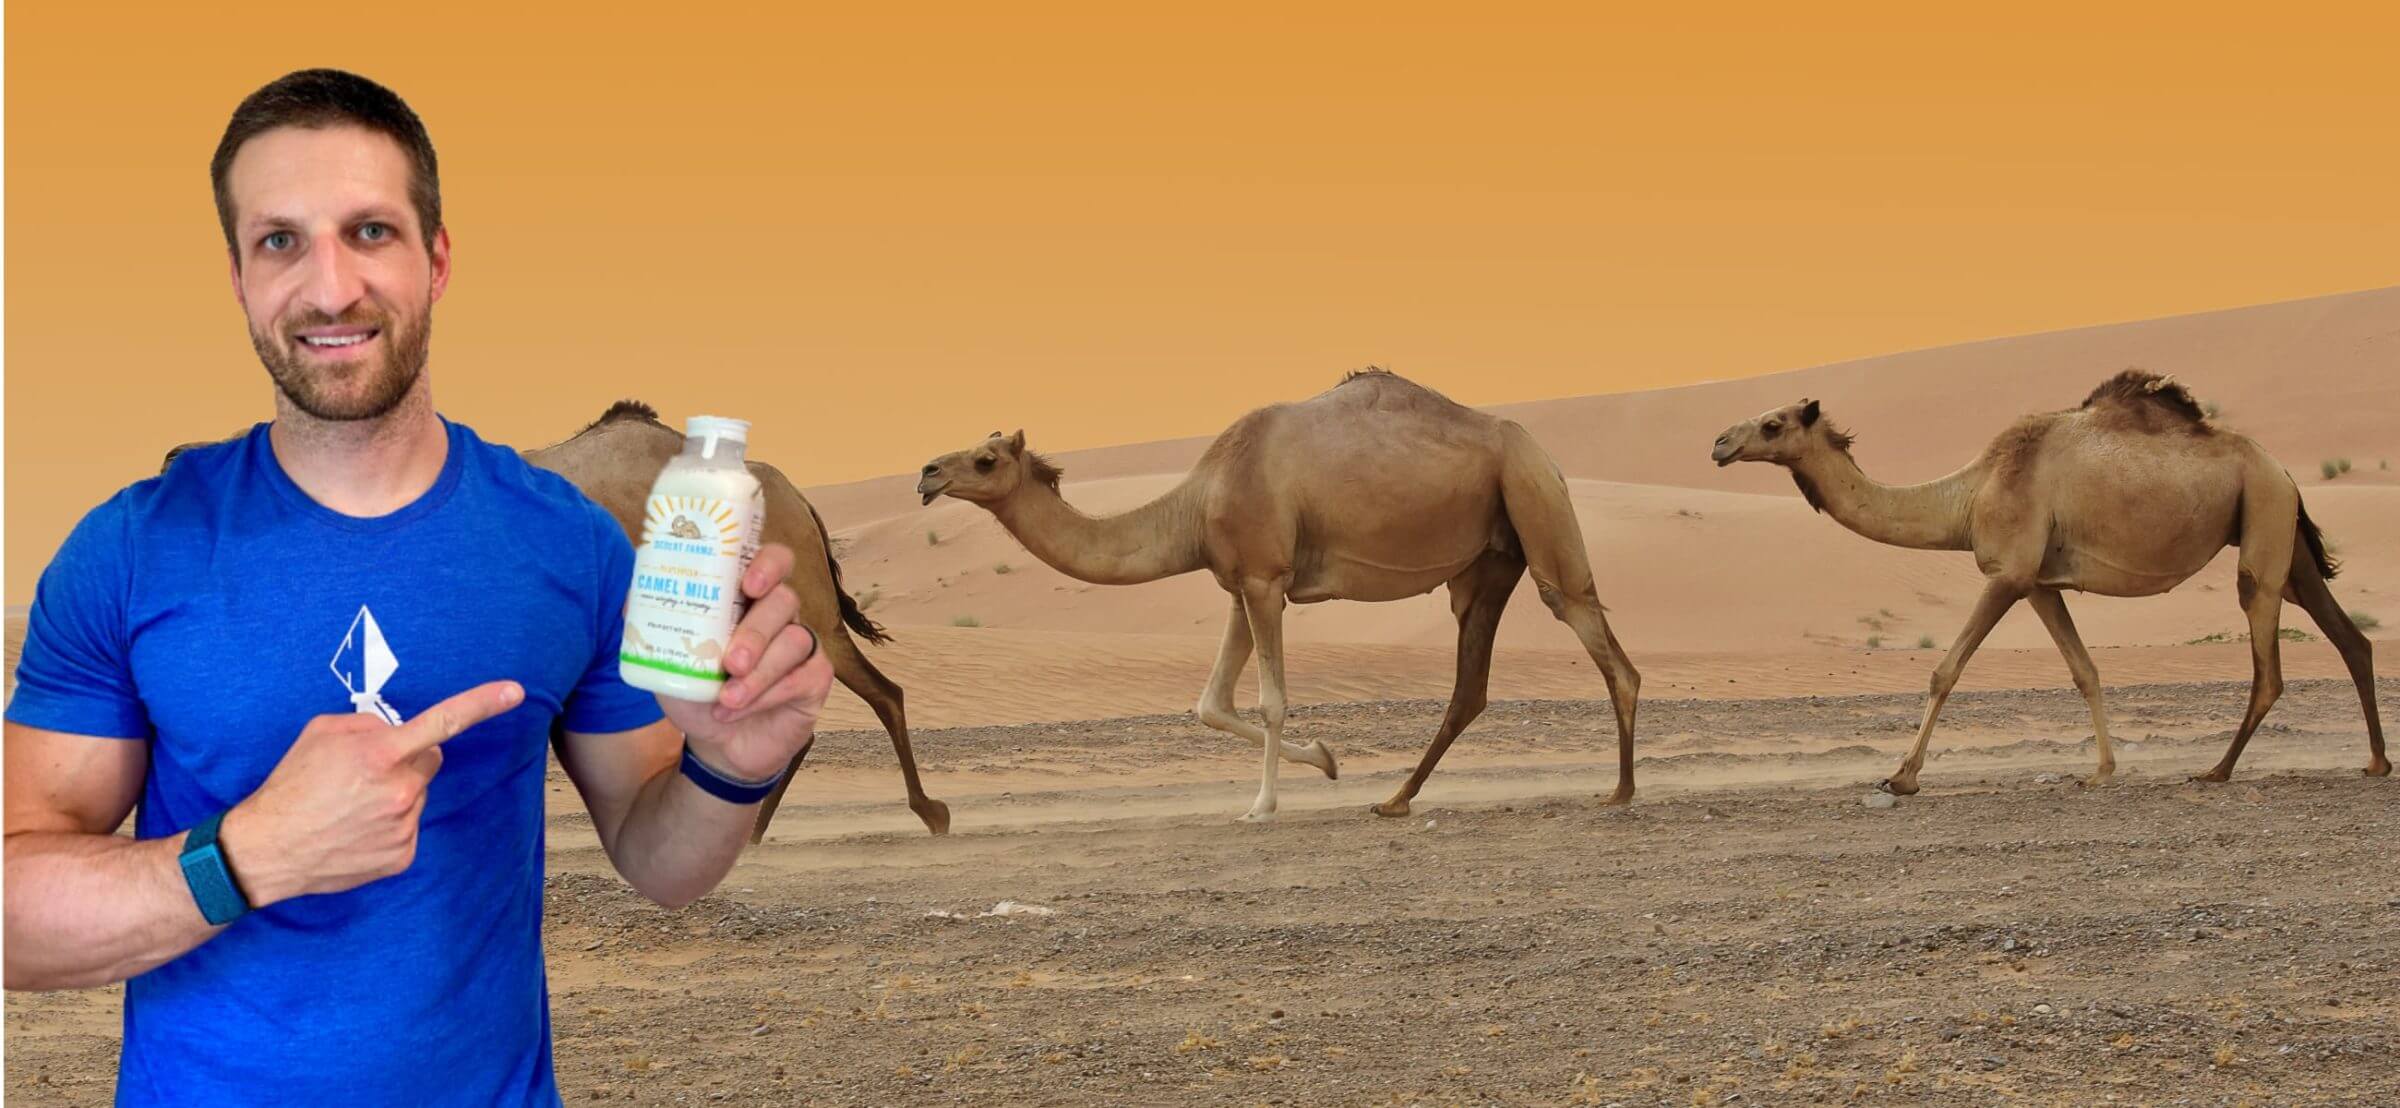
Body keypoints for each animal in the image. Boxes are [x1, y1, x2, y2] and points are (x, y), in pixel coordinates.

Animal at [914, 368, 1641, 822]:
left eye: (985, 459)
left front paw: (1262, 805)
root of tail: (1547, 456)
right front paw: (1326, 760)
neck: (1196, 503)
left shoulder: (1267, 580)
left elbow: (1269, 701)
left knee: (1593, 630)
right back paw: (1395, 798)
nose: (925, 472)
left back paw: (1622, 790)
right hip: (1488, 561)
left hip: (1533, 498)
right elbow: (1211, 703)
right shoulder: (1239, 585)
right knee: (1472, 687)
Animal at [1710, 369, 2387, 794]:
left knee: (2268, 658)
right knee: (2349, 636)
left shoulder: (2007, 573)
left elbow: (1944, 670)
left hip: (2263, 516)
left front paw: (1902, 776)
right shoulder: (2039, 584)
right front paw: (2102, 770)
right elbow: (2085, 670)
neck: (1967, 496)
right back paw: (2377, 762)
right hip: (2282, 533)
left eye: (1773, 424)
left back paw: (2217, 770)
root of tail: (2285, 470)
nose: (1718, 442)